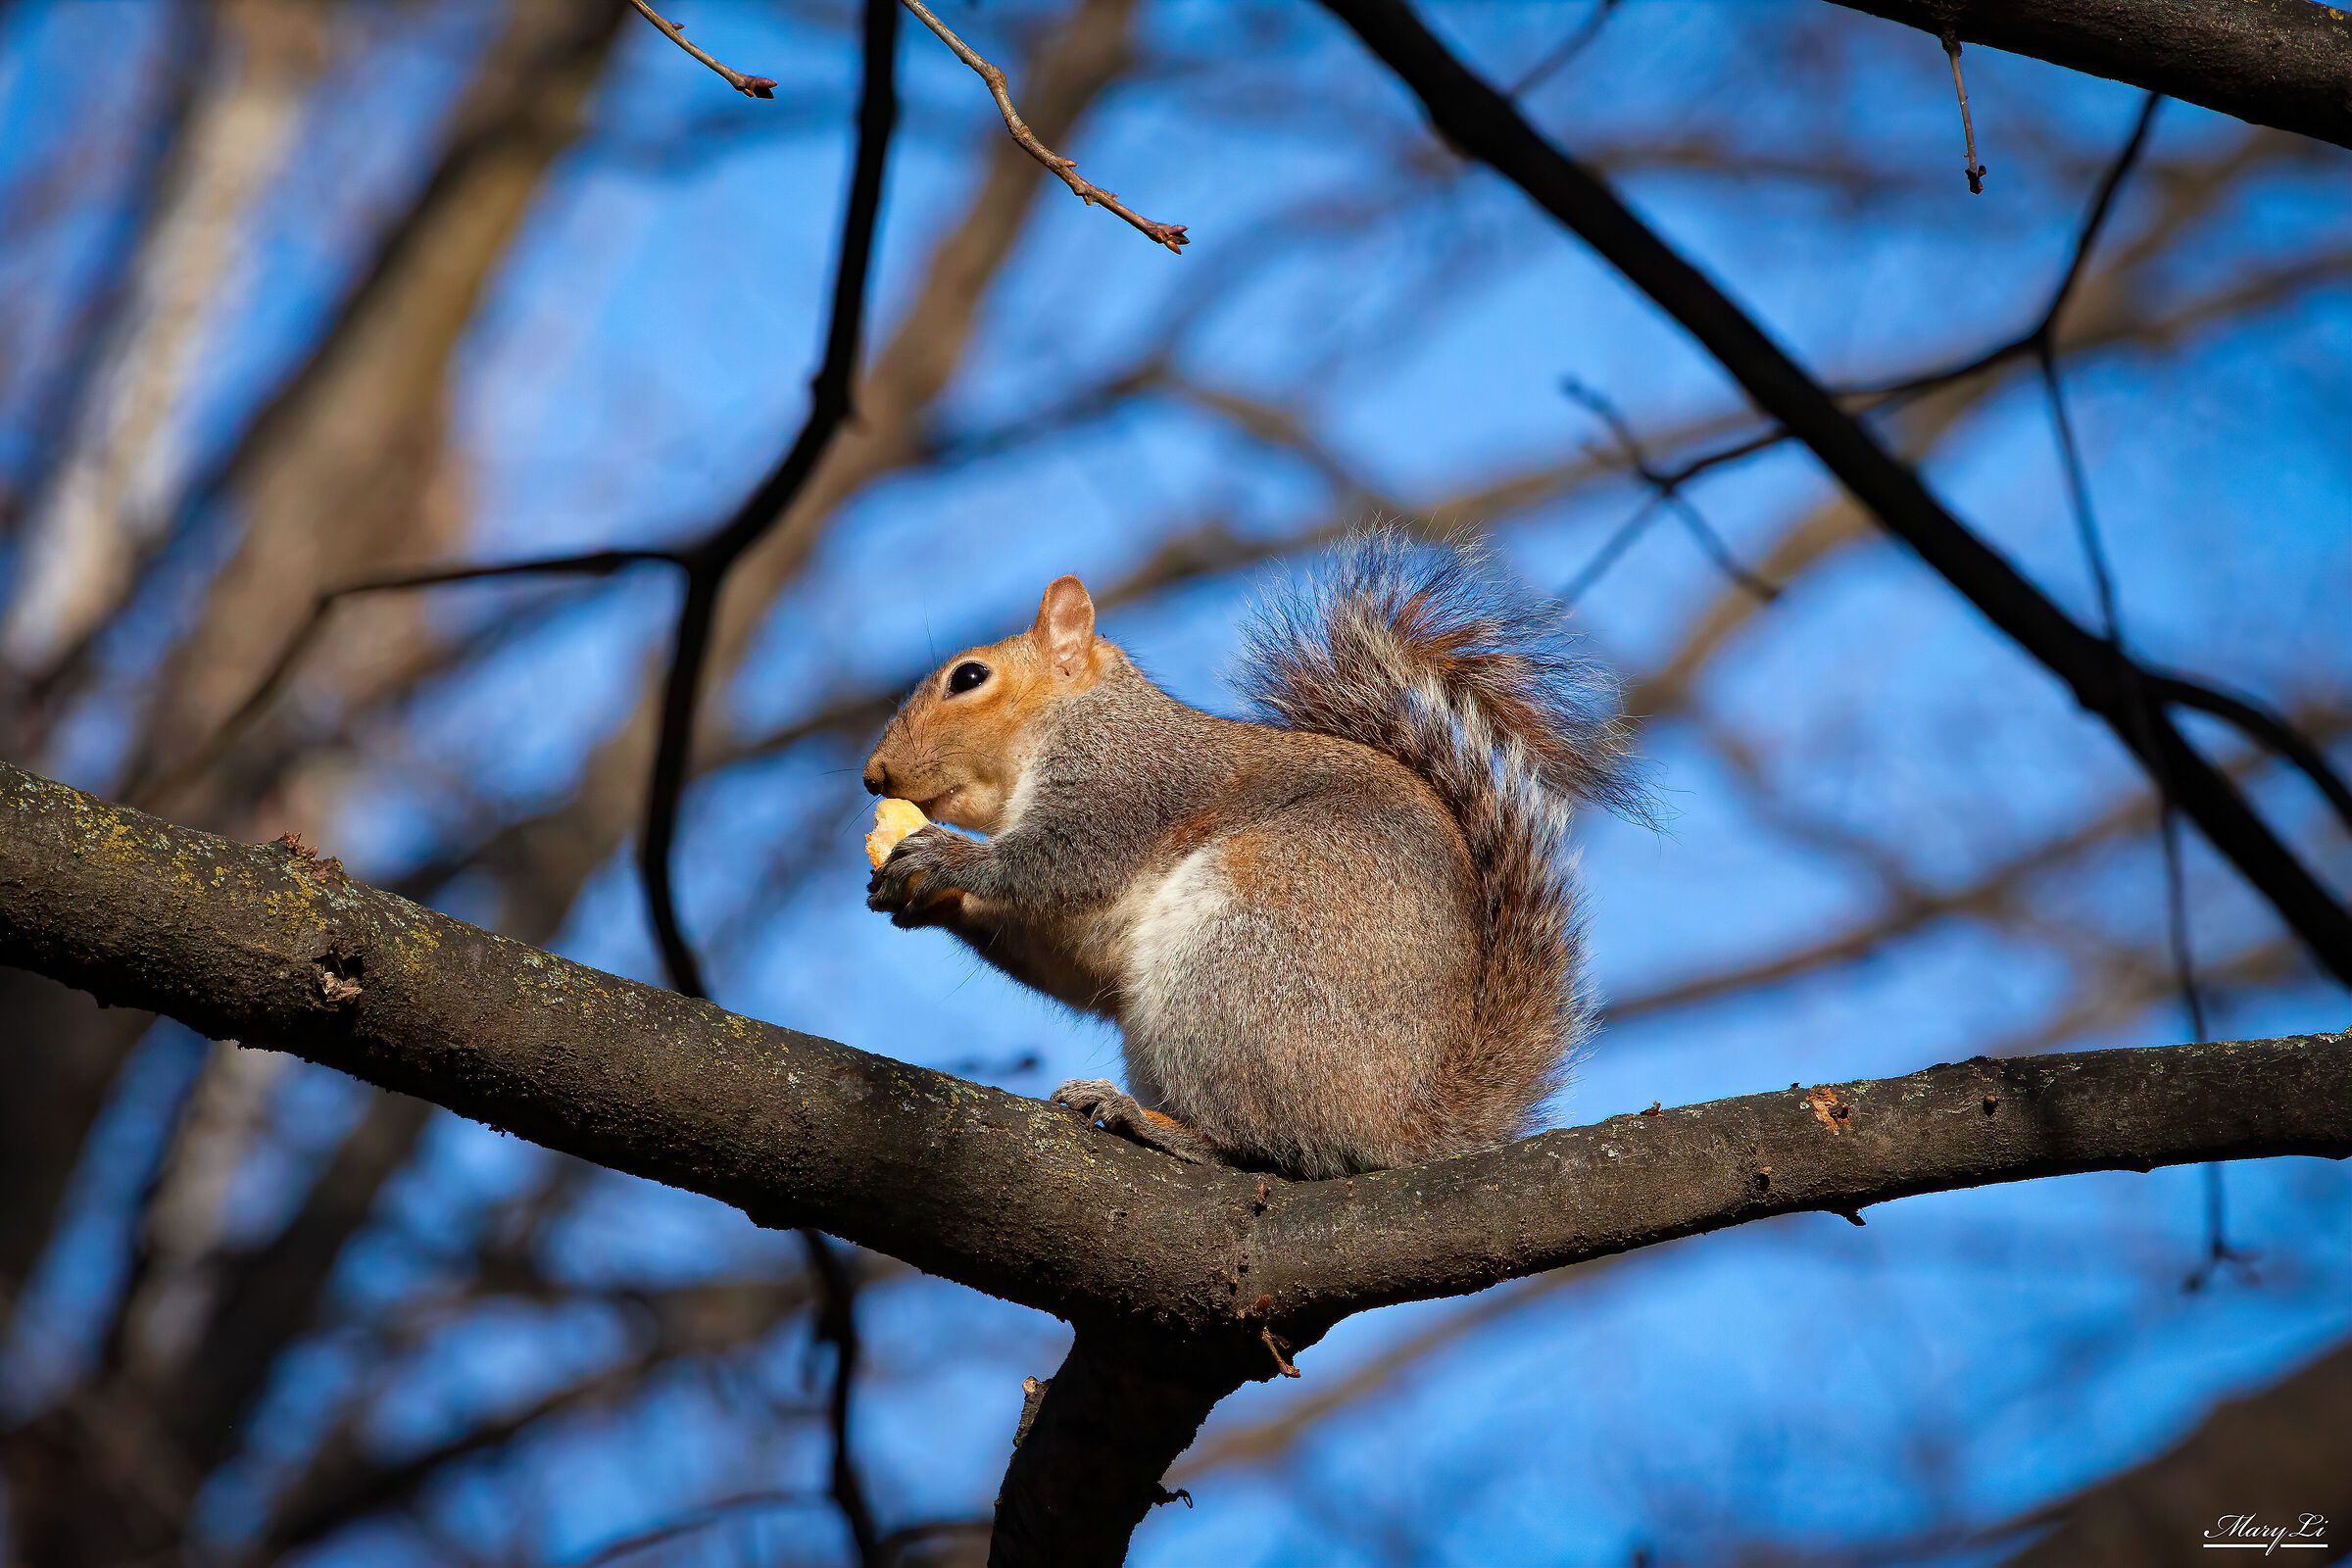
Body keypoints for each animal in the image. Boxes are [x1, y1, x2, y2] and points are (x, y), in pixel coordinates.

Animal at [863, 532, 1640, 1180]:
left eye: (968, 678)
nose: (873, 775)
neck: (1076, 719)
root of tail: (1406, 1128)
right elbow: (1069, 963)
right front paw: (927, 900)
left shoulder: (1126, 785)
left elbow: (1059, 861)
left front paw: (945, 857)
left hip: (1239, 966)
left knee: (1269, 1144)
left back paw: (1153, 1124)